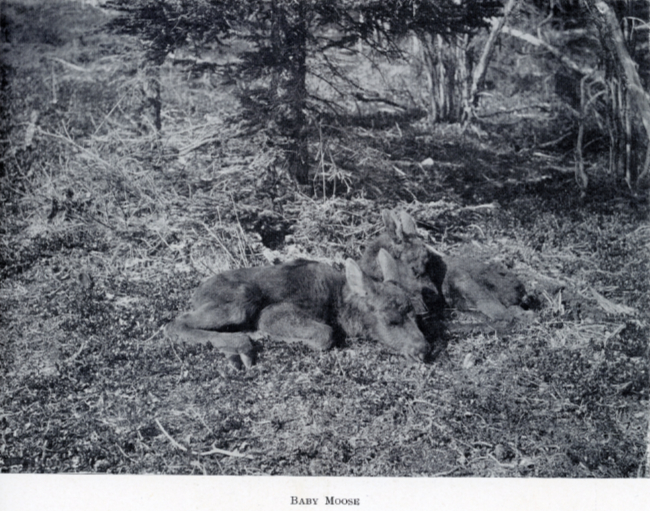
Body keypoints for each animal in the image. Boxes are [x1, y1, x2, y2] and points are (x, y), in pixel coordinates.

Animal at [165, 248, 429, 369]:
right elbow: (325, 334)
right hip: (241, 300)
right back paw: (240, 345)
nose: (423, 349)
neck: (339, 307)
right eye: (390, 320)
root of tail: (197, 293)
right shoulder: (272, 314)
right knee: (175, 323)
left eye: (417, 317)